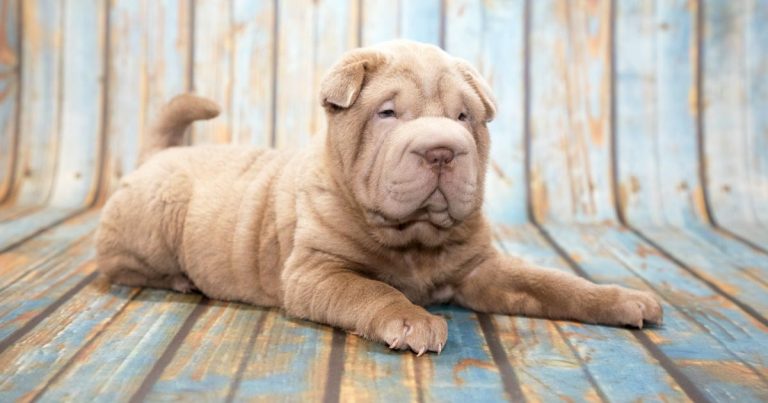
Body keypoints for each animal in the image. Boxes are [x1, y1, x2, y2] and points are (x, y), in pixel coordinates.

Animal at [94, 40, 660, 356]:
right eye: (388, 114)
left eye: (464, 118)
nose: (442, 151)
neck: (415, 239)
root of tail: (158, 154)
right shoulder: (318, 272)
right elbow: (371, 291)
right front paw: (411, 320)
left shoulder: (481, 268)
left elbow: (551, 282)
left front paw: (618, 297)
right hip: (152, 224)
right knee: (119, 265)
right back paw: (179, 280)